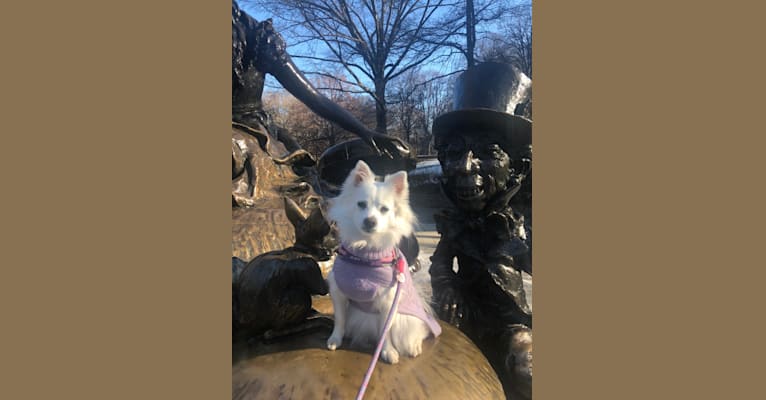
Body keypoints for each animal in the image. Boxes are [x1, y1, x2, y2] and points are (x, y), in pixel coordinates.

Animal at [326, 161, 444, 364]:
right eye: (361, 205)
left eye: (384, 210)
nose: (370, 221)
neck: (365, 255)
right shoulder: (338, 292)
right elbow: (339, 319)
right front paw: (335, 339)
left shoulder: (388, 302)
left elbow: (385, 332)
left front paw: (387, 351)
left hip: (405, 320)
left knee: (418, 331)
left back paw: (414, 346)